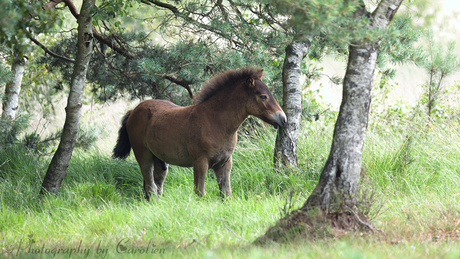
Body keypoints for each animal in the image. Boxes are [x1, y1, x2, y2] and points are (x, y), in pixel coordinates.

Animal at [113, 67, 286, 201]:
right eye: (263, 96)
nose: (283, 119)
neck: (215, 122)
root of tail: (134, 110)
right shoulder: (200, 162)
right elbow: (200, 192)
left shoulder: (225, 163)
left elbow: (226, 194)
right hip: (143, 155)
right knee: (150, 185)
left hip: (159, 159)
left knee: (156, 183)